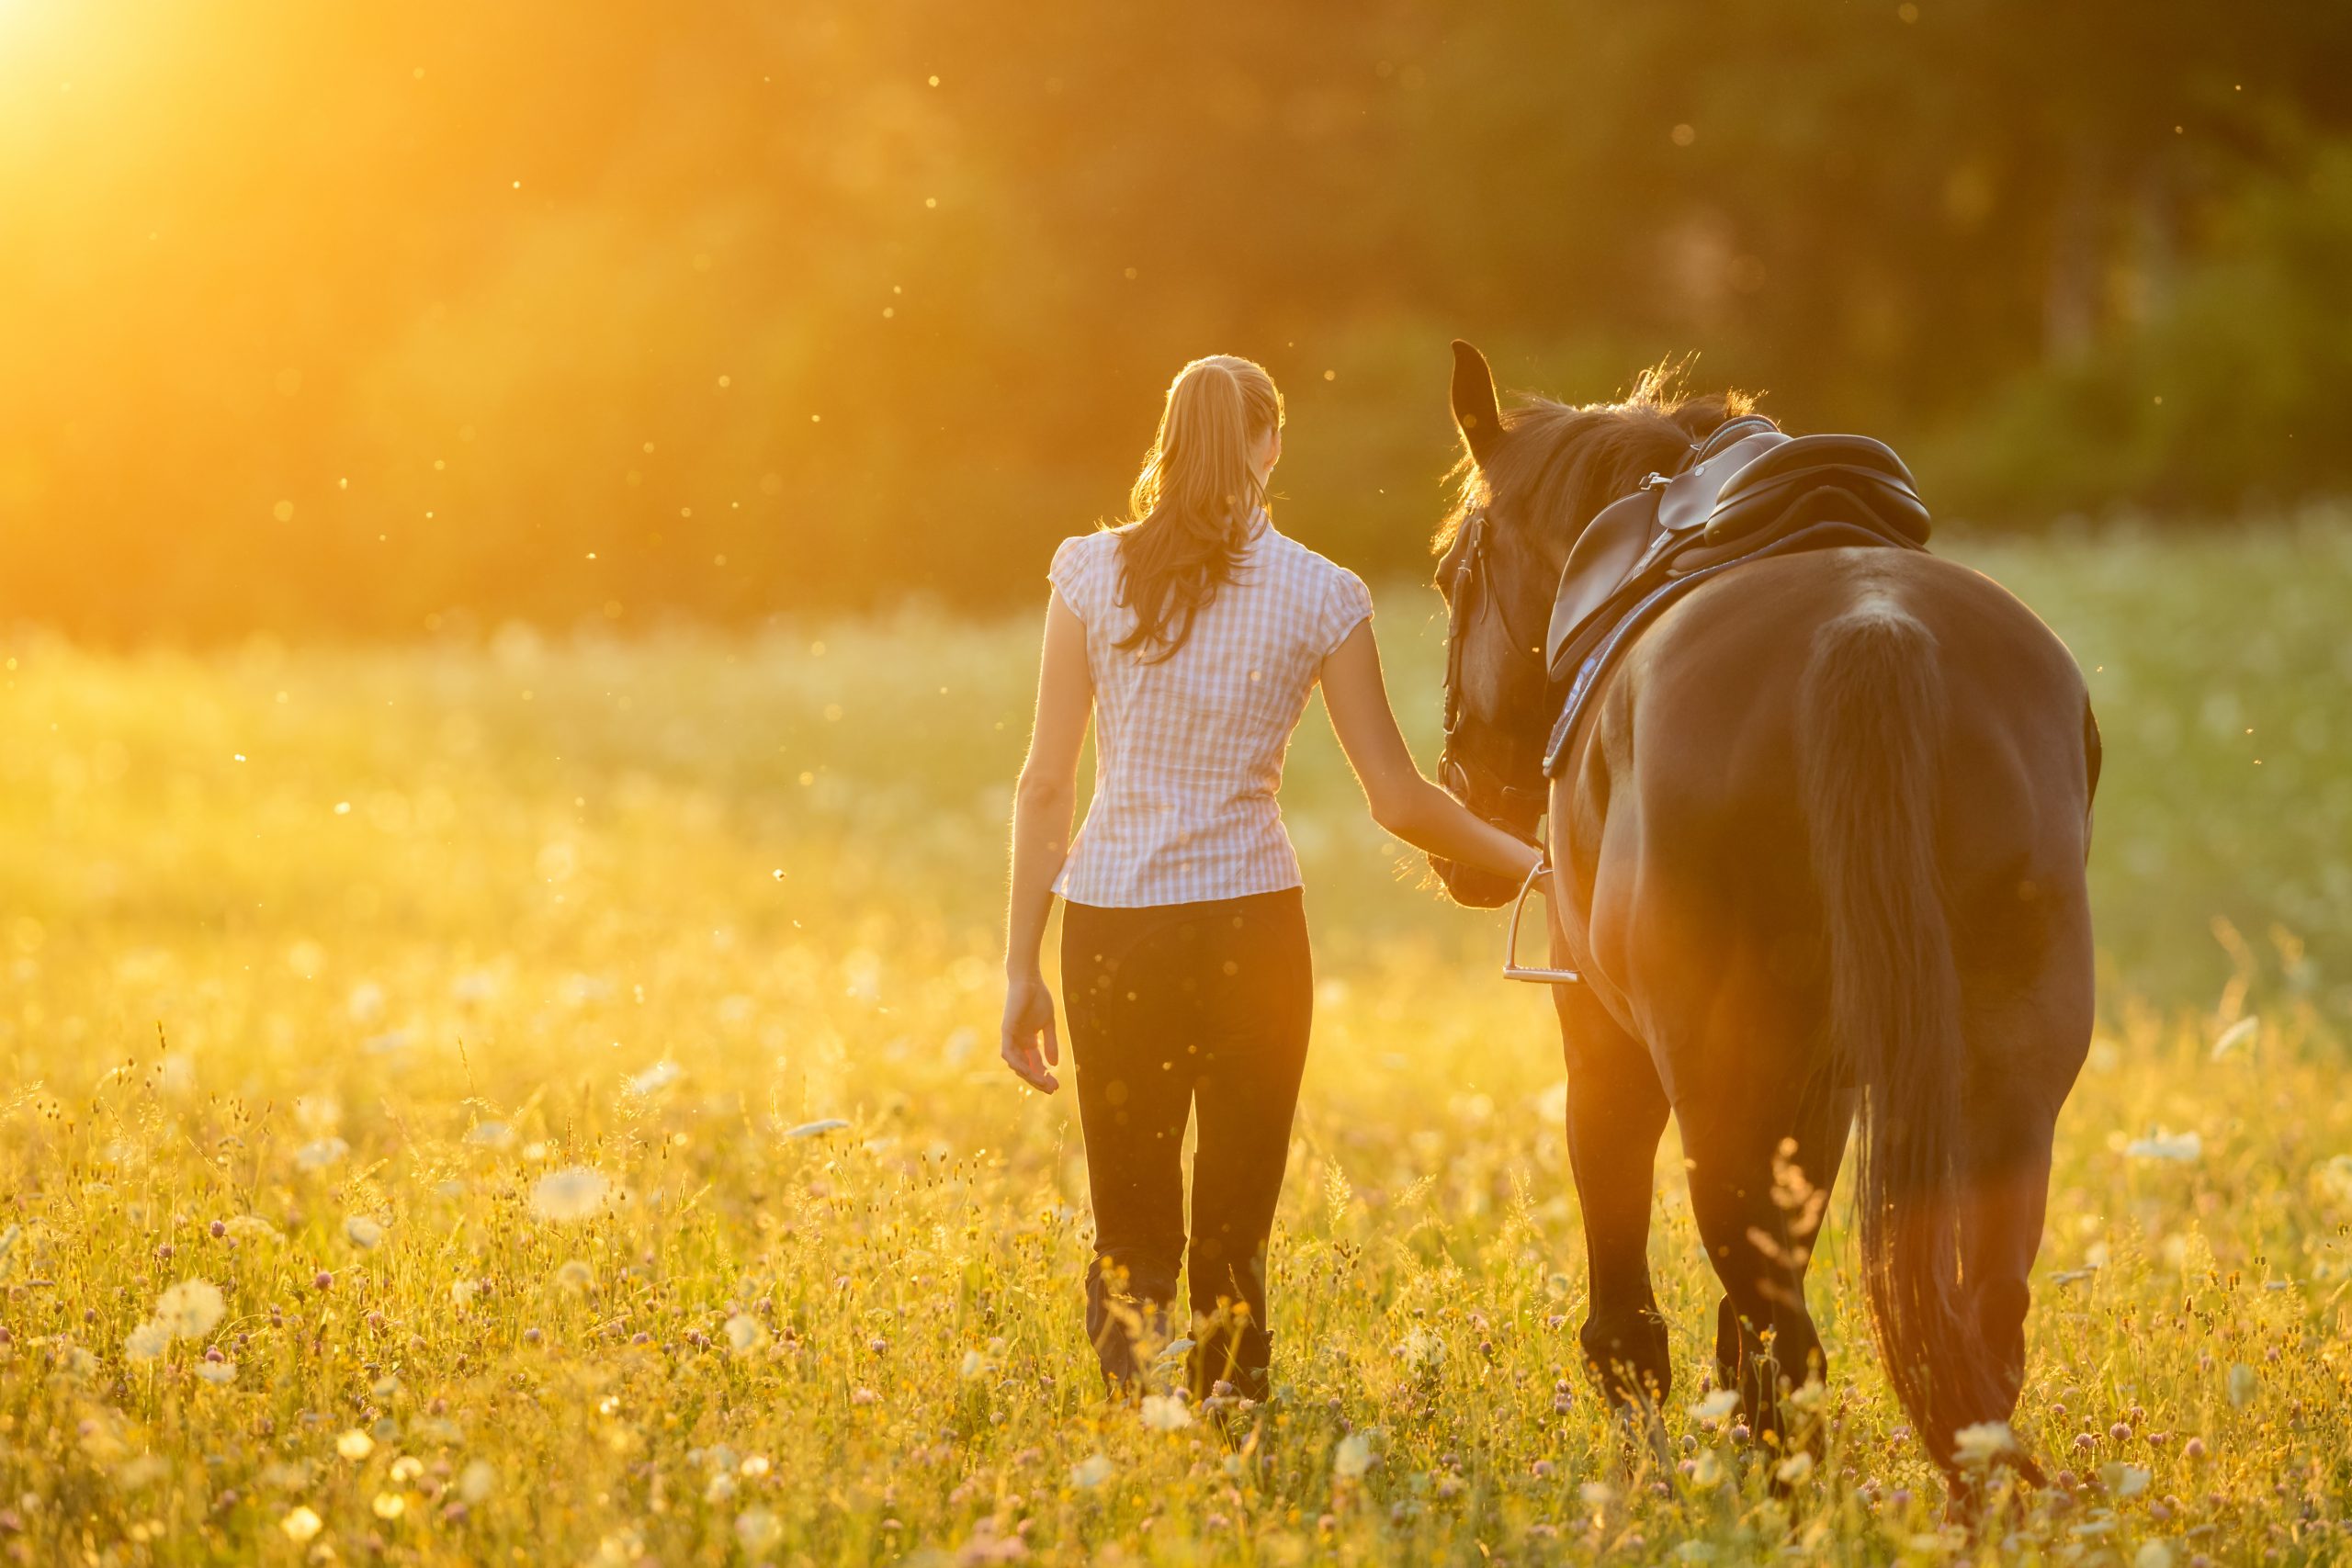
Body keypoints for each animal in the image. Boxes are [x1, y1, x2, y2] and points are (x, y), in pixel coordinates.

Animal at [1430, 342, 2099, 1490]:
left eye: (1448, 577)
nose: (1455, 798)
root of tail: (1870, 633)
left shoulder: (1601, 1045)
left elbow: (1629, 1318)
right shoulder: (1821, 1084)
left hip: (1720, 1083)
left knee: (1786, 1329)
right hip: (2009, 1080)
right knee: (1976, 1327)